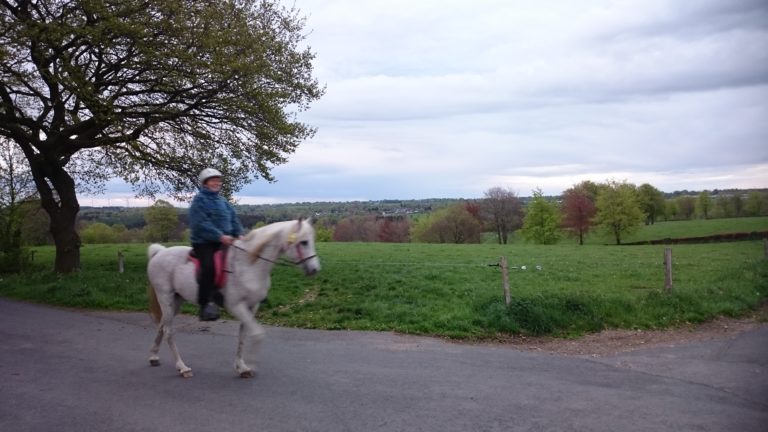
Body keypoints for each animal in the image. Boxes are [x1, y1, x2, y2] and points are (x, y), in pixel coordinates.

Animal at [147, 219, 320, 378]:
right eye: (304, 242)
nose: (314, 269)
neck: (248, 265)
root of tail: (159, 252)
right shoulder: (237, 306)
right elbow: (258, 334)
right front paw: (252, 363)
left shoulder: (251, 306)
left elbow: (242, 337)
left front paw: (242, 367)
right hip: (166, 297)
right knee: (168, 331)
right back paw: (182, 367)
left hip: (177, 300)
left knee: (162, 325)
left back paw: (154, 356)